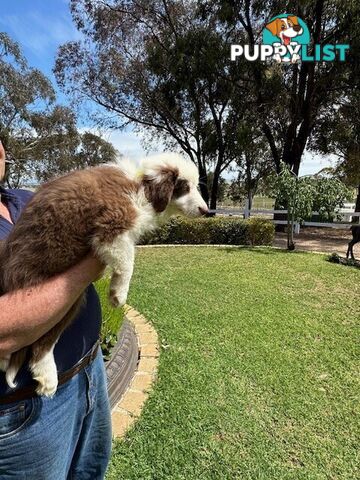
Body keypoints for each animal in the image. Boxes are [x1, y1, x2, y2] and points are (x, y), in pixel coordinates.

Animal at [0, 152, 208, 396]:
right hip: (56, 299)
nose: (206, 210)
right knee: (41, 344)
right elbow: (128, 259)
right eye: (184, 187)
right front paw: (119, 294)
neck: (141, 186)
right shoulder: (113, 224)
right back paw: (47, 377)